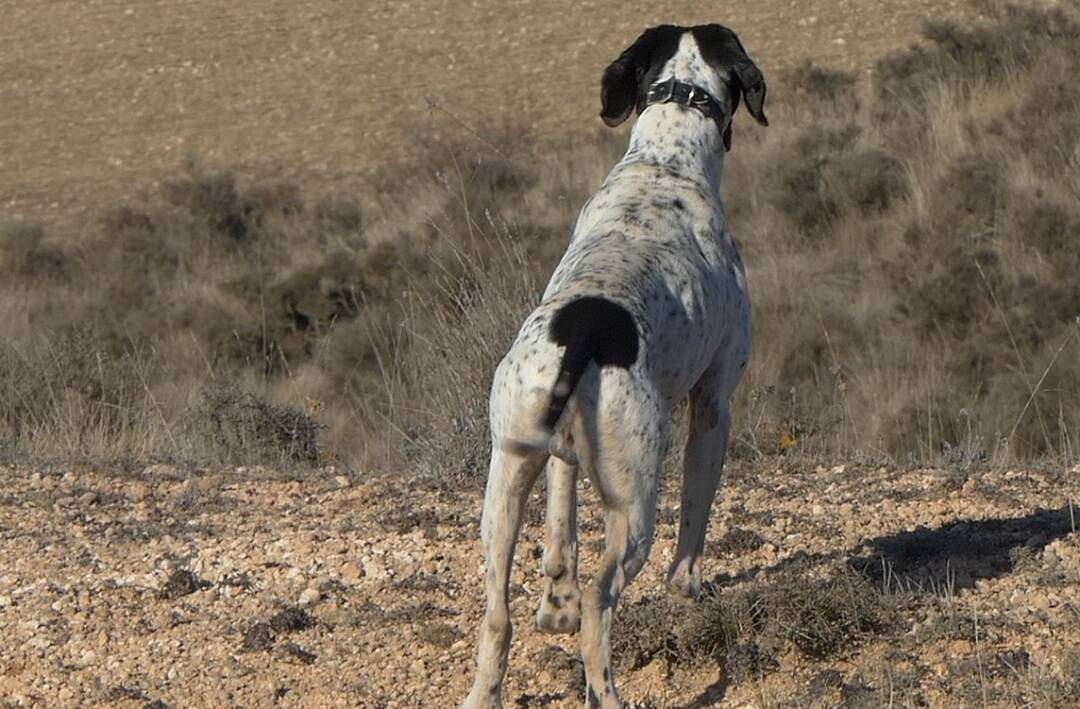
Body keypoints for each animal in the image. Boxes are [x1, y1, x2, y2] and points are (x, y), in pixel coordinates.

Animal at [464, 23, 768, 709]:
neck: (665, 160)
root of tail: (580, 337)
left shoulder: (560, 457)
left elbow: (559, 528)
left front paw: (554, 600)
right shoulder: (715, 405)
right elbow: (696, 519)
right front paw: (689, 588)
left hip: (504, 482)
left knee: (498, 615)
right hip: (634, 505)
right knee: (601, 606)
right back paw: (604, 688)